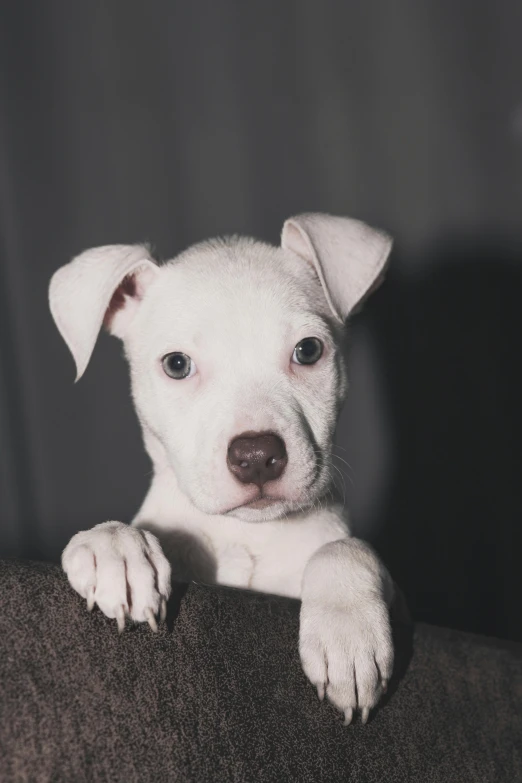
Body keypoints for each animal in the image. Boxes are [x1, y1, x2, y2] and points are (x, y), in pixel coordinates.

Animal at [51, 213, 394, 724]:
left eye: (308, 351)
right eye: (177, 364)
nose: (256, 457)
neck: (244, 534)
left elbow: (344, 548)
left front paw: (347, 633)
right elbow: (118, 534)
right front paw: (116, 549)